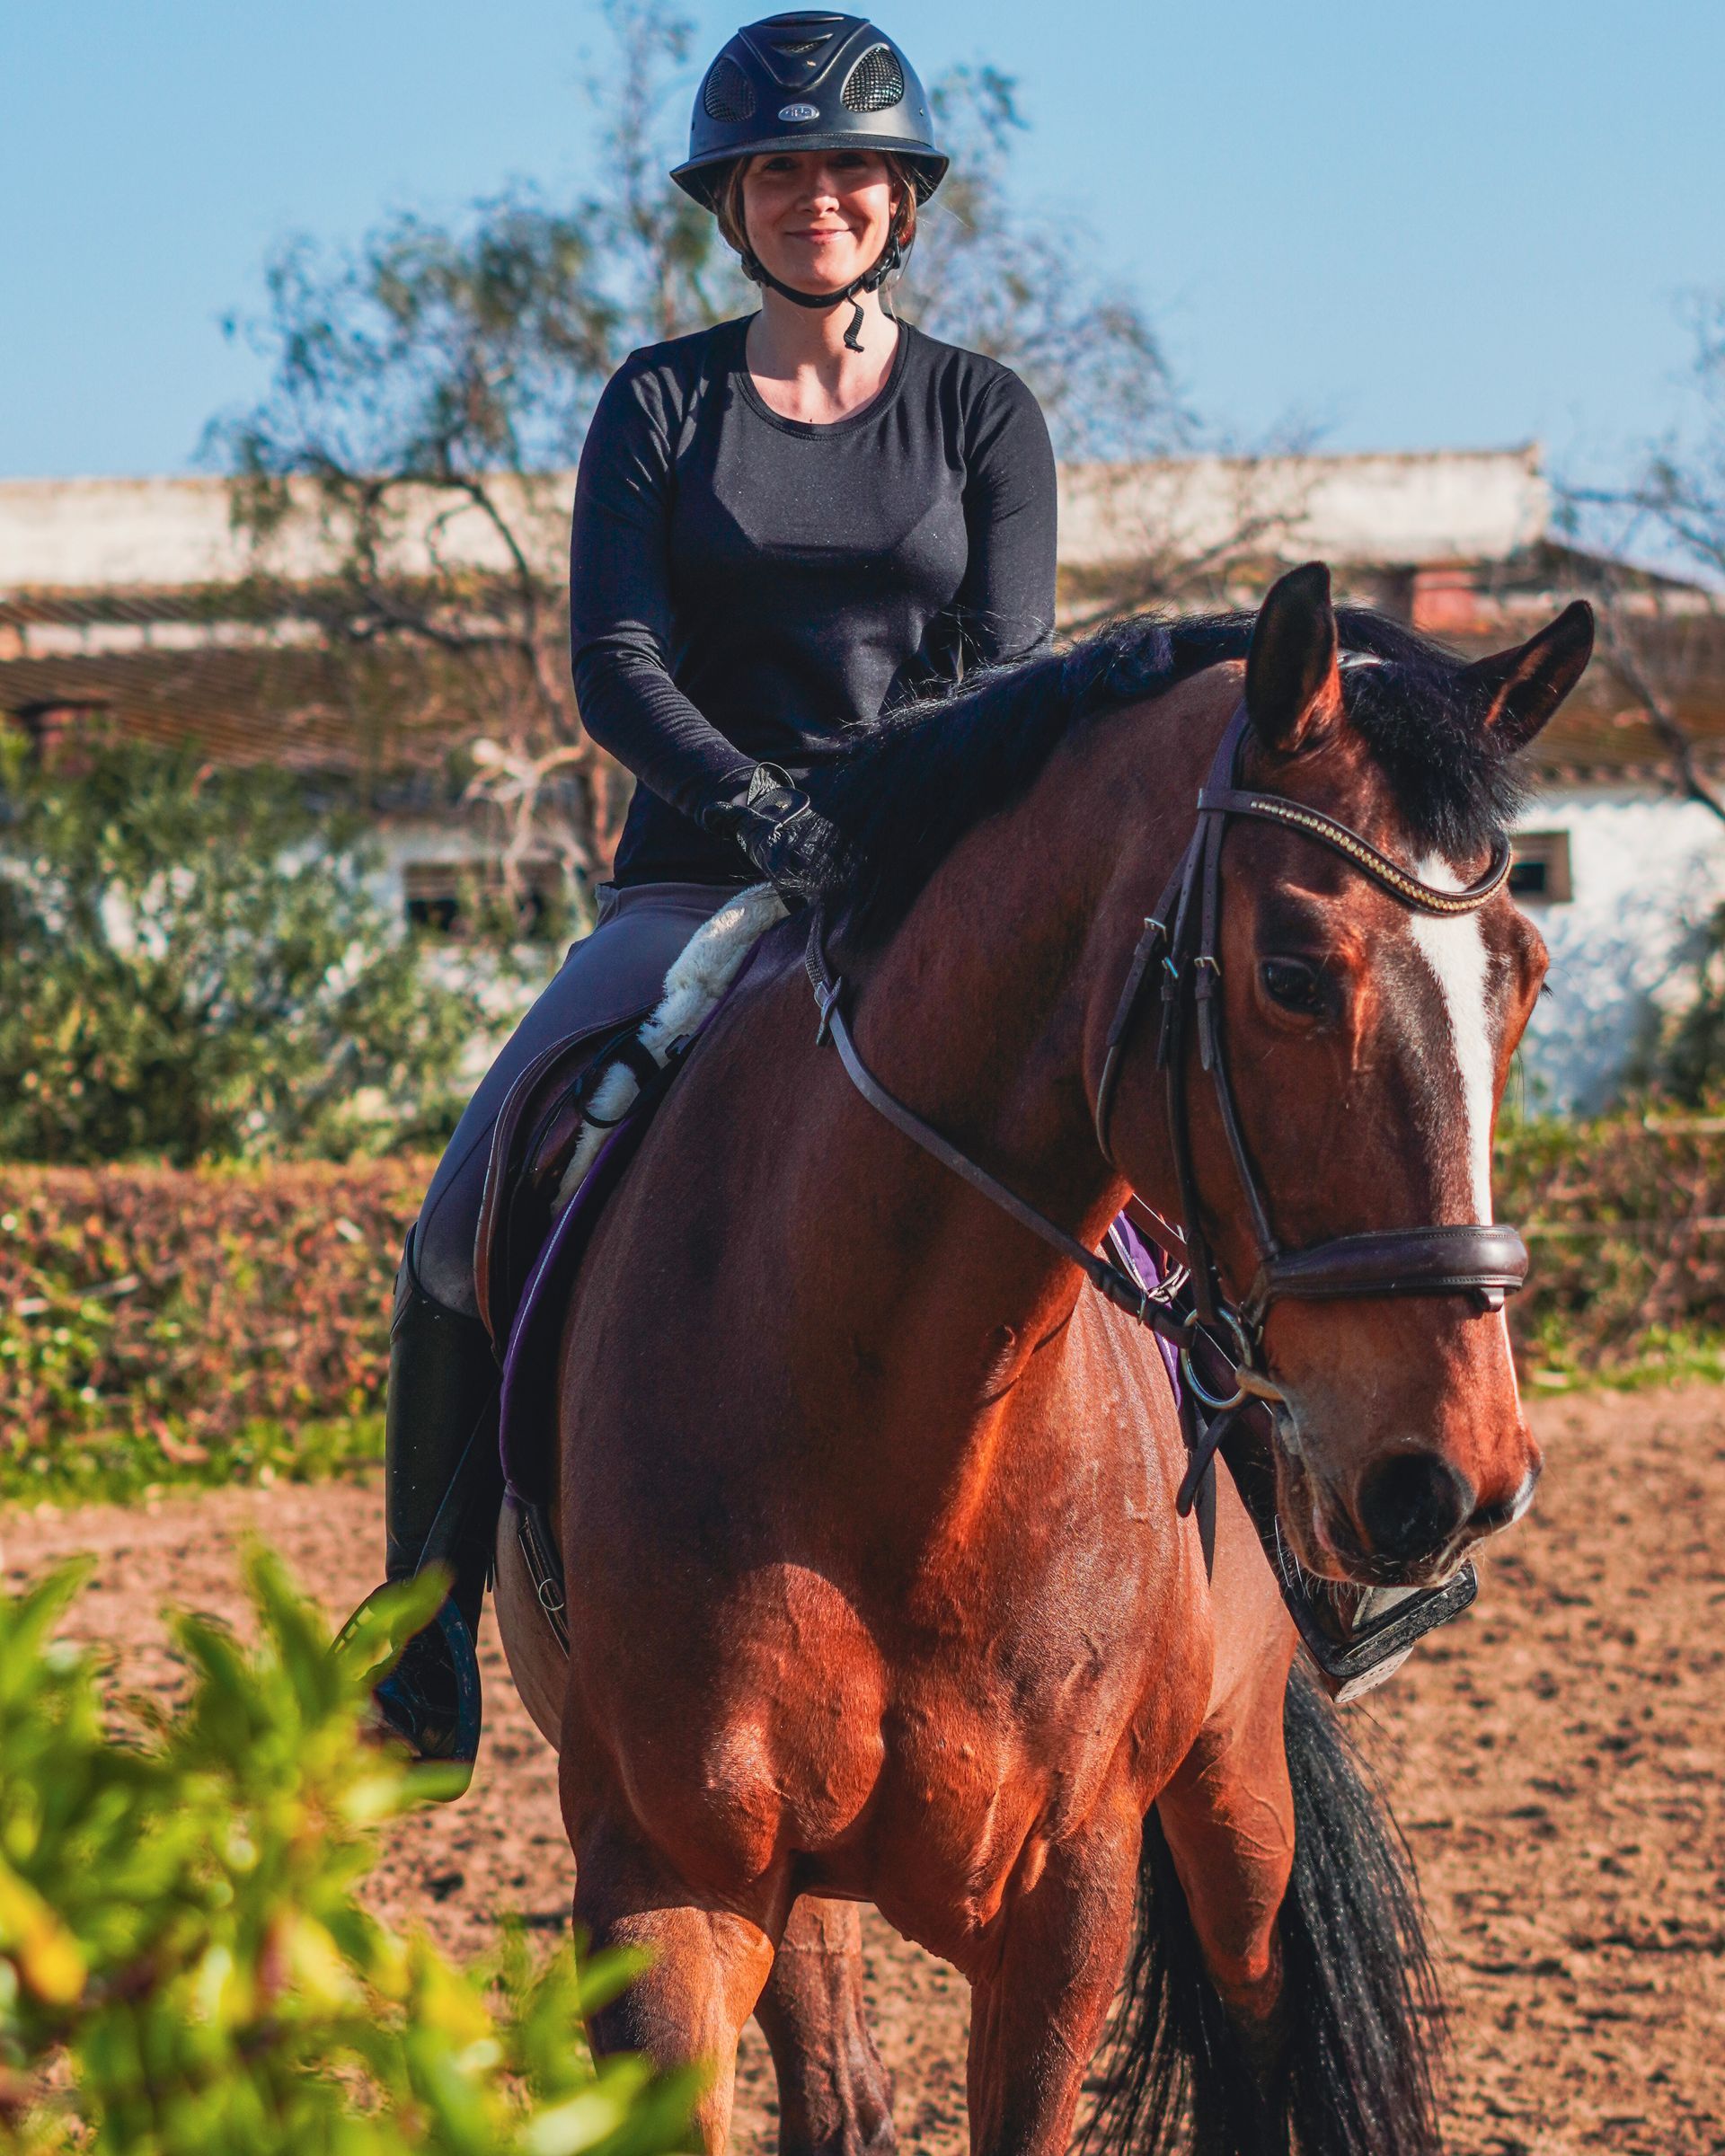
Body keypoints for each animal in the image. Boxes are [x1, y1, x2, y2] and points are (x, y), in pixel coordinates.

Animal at [493, 561, 1593, 2156]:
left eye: (1527, 975)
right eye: (1291, 973)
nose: (1456, 1479)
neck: (898, 1430)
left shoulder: (1066, 1898)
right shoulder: (666, 1886)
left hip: (1236, 1793)